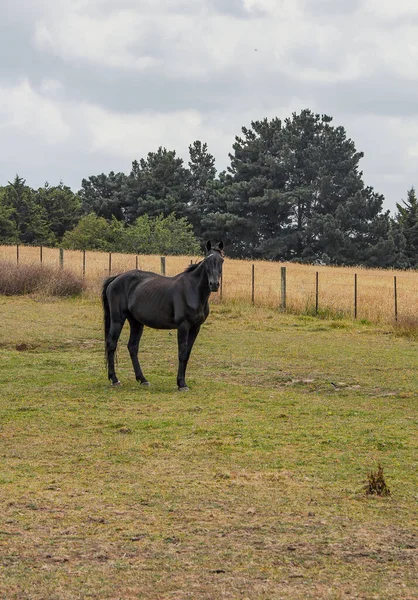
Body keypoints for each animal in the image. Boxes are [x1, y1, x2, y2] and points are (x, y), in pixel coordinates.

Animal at [101, 241, 224, 392]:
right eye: (207, 260)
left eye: (221, 260)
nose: (214, 284)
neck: (193, 290)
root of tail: (116, 279)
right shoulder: (183, 326)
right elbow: (182, 352)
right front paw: (181, 384)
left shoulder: (196, 327)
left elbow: (187, 354)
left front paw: (182, 382)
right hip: (117, 320)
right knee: (111, 344)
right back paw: (114, 379)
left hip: (136, 322)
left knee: (133, 347)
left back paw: (142, 379)